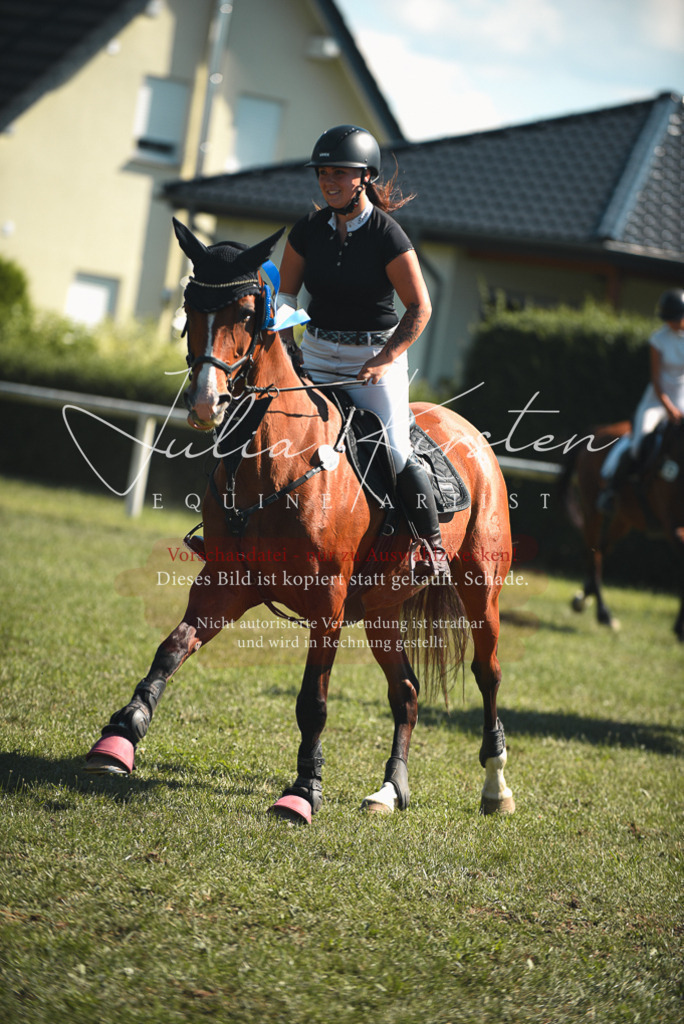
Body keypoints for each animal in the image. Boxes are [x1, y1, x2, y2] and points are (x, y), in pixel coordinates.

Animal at [85, 219, 515, 820]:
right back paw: (389, 790)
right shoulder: (226, 583)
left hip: (480, 587)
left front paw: (303, 791)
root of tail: (470, 434)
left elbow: (313, 700)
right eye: (191, 305)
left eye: (247, 311)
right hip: (382, 609)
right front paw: (120, 736)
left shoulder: (326, 604)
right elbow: (171, 648)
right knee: (405, 692)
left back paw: (496, 789)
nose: (206, 402)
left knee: (487, 673)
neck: (273, 461)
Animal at [559, 419, 684, 640]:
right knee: (593, 551)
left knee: (600, 549)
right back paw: (603, 613)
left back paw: (584, 597)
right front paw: (679, 628)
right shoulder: (672, 527)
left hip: (624, 518)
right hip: (592, 508)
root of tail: (600, 429)